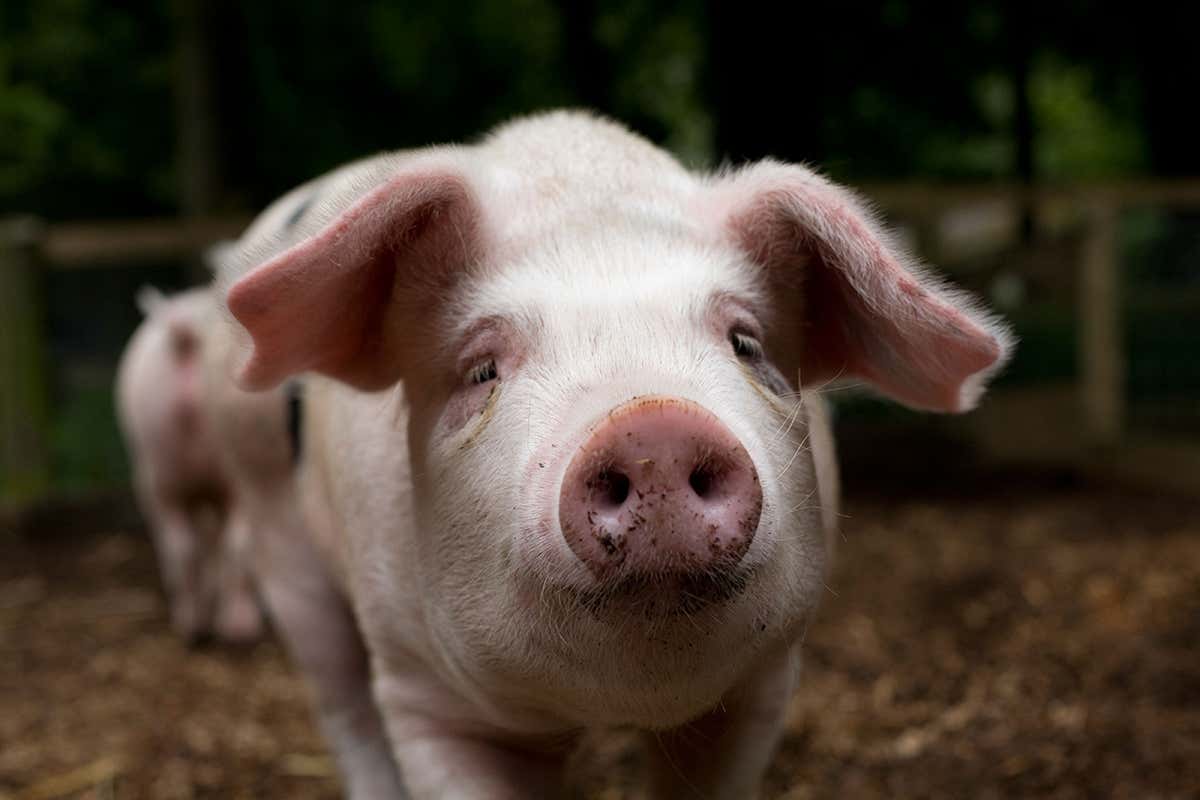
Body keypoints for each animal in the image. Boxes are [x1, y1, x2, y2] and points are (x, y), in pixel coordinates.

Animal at [115, 286, 269, 645]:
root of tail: (192, 333)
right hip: (223, 474)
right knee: (229, 543)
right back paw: (235, 629)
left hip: (157, 465)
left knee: (183, 545)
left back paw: (193, 628)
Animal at [215, 110, 1011, 798]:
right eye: (481, 370)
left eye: (746, 343)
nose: (653, 426)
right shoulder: (426, 700)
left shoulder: (760, 687)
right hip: (283, 548)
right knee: (344, 704)